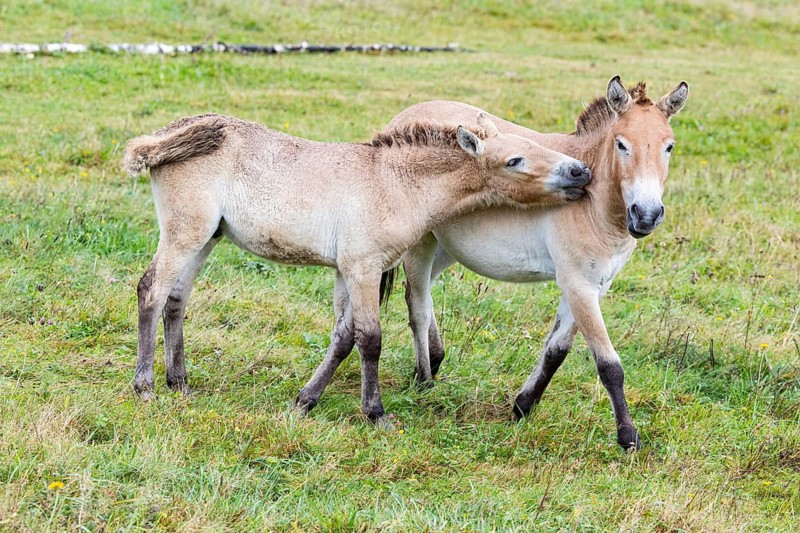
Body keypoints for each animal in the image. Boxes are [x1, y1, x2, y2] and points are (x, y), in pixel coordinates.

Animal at [122, 112, 592, 428]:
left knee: (176, 299)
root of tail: (166, 136)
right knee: (151, 291)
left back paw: (179, 383)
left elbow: (344, 337)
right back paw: (145, 387)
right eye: (514, 160)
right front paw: (376, 413)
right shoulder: (363, 268)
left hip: (207, 238)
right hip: (186, 233)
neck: (395, 182)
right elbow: (370, 339)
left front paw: (305, 400)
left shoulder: (348, 272)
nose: (580, 171)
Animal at [380, 76, 688, 448]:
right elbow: (609, 364)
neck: (594, 202)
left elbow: (556, 351)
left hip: (446, 249)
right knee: (418, 305)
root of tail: (399, 121)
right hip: (420, 245)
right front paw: (628, 436)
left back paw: (434, 363)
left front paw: (523, 406)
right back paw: (424, 380)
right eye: (621, 144)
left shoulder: (593, 288)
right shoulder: (579, 286)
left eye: (669, 146)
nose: (646, 215)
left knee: (421, 296)